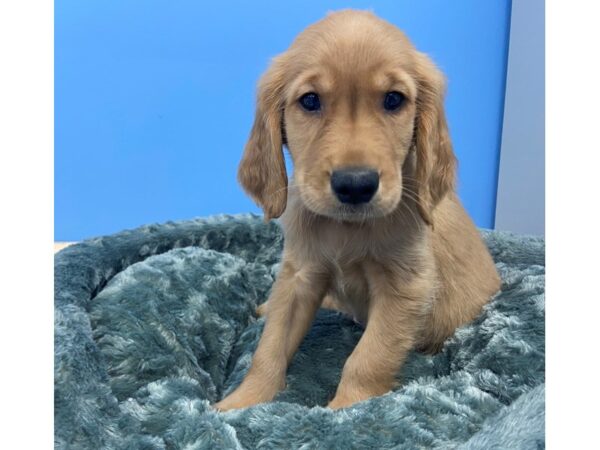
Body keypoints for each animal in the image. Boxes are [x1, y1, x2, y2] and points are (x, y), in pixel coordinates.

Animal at [214, 9, 496, 412]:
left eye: (393, 100)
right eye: (310, 101)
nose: (356, 185)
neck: (346, 229)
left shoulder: (406, 286)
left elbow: (368, 356)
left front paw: (346, 408)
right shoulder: (299, 273)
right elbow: (269, 347)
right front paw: (241, 402)